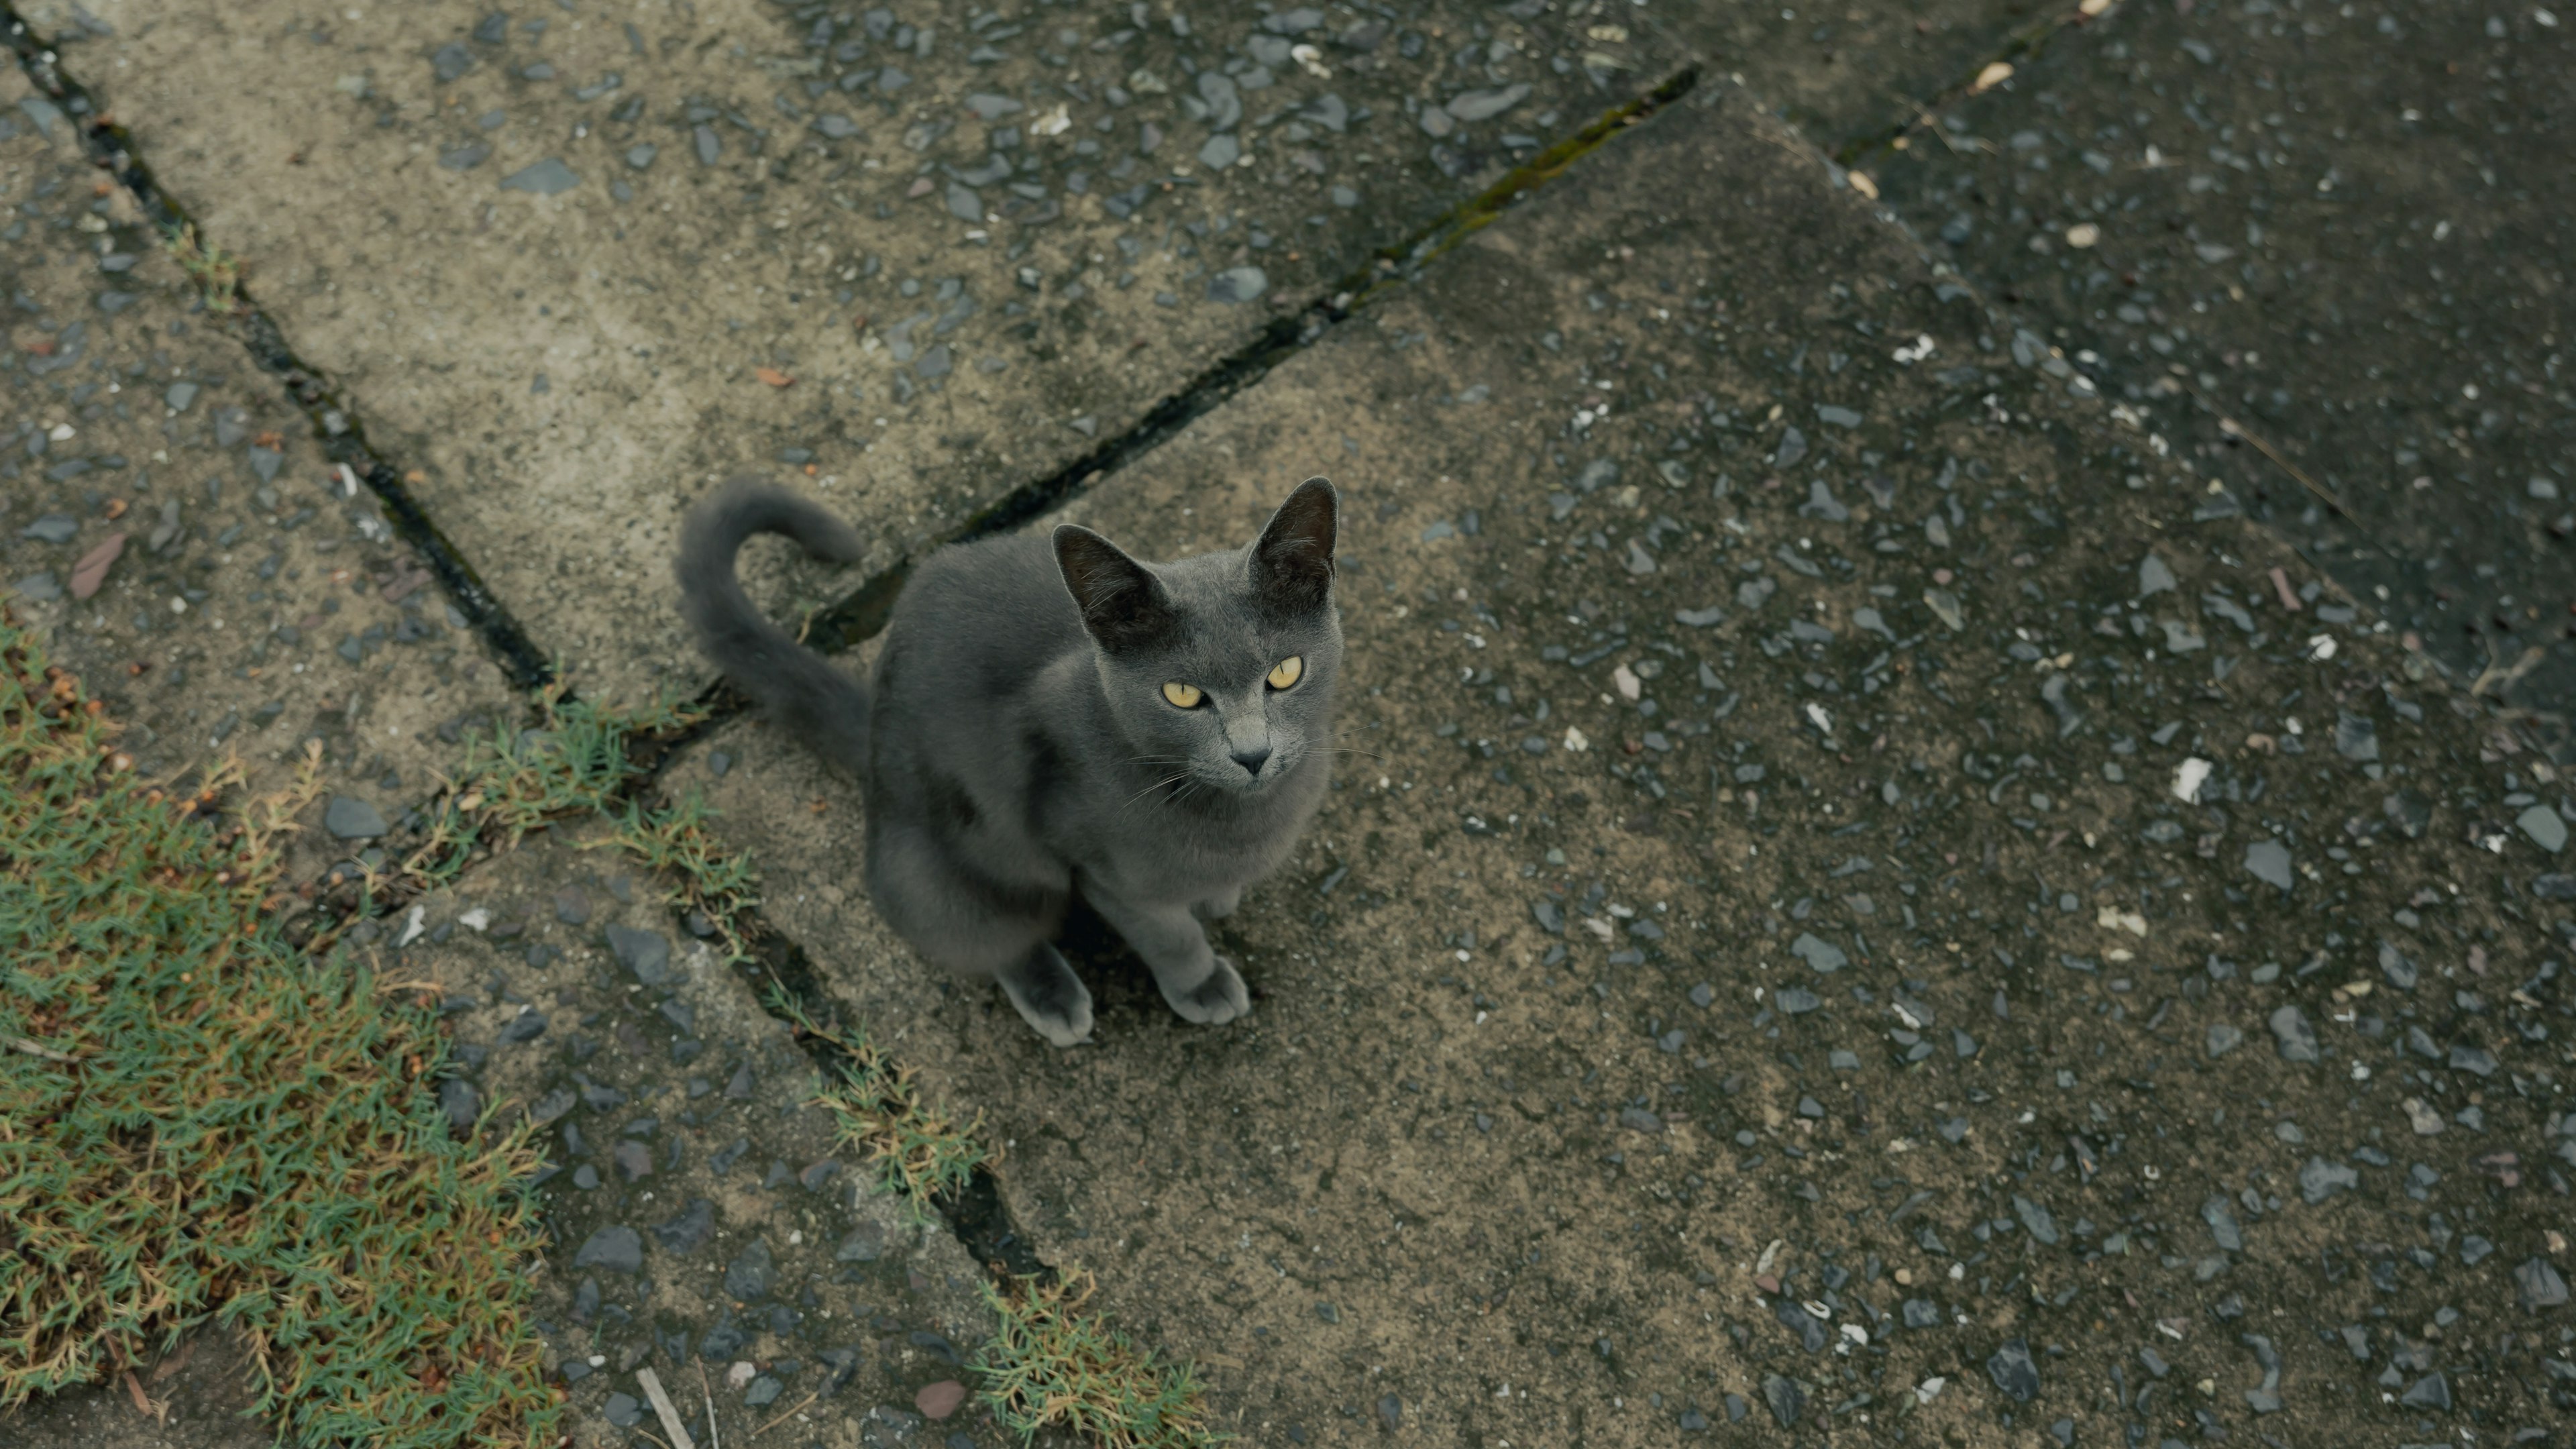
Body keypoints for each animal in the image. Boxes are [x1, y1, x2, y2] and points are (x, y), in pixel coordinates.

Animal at [664, 479, 1350, 1041]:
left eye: (1285, 673)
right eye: (1182, 695)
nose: (1253, 752)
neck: (1248, 815)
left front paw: (1217, 898)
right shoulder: (1104, 872)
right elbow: (1170, 935)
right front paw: (1202, 983)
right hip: (940, 871)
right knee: (989, 936)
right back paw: (1053, 997)